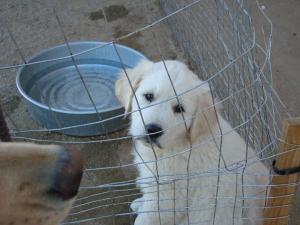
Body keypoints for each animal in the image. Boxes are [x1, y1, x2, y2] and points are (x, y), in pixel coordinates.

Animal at [115, 59, 268, 225]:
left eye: (179, 109)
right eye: (149, 96)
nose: (153, 130)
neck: (179, 142)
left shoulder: (168, 196)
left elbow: (146, 217)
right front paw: (140, 202)